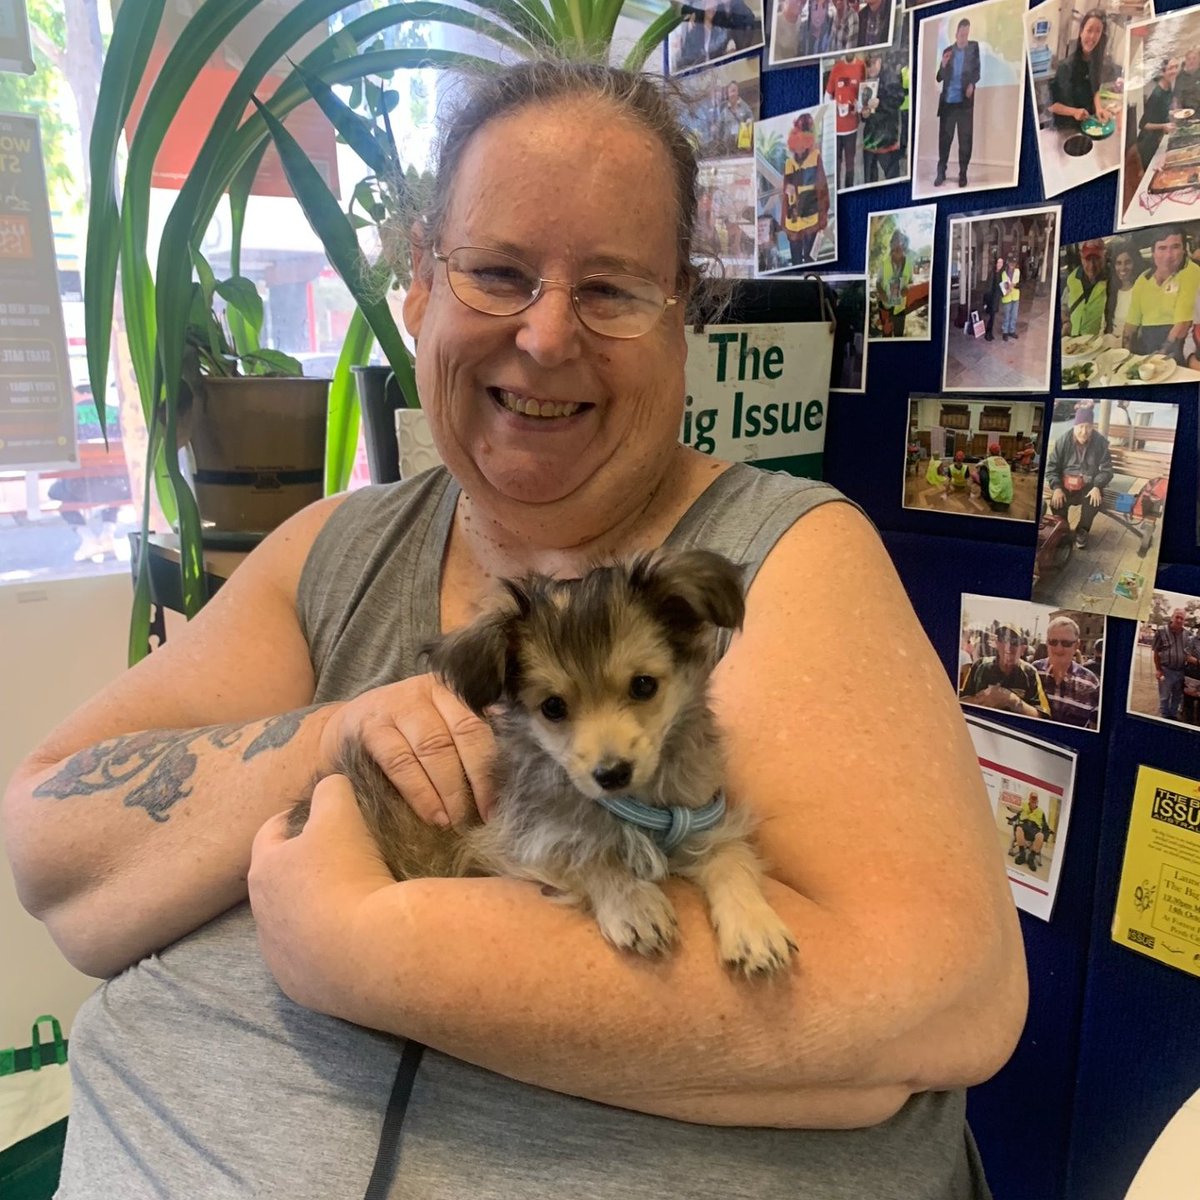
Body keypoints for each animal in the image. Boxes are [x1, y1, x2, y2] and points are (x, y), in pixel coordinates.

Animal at [290, 549, 796, 974]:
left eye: (644, 685)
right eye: (553, 707)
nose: (611, 774)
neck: (634, 807)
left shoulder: (703, 819)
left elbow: (732, 859)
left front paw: (756, 926)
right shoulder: (515, 841)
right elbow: (586, 855)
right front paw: (633, 903)